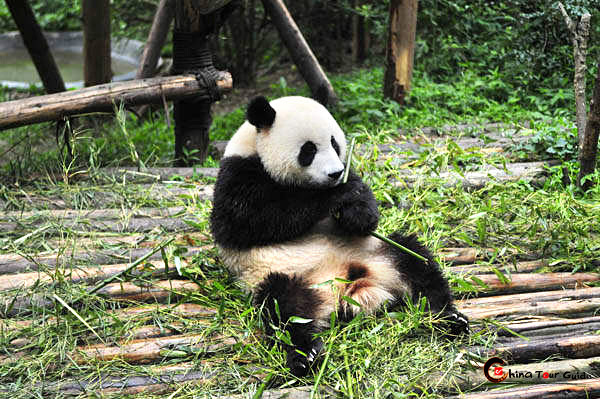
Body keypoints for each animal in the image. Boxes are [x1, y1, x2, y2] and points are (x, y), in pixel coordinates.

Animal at [211, 96, 468, 378]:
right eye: (308, 150)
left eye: (334, 143)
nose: (335, 173)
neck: (255, 151)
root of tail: (351, 286)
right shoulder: (237, 177)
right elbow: (250, 220)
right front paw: (336, 195)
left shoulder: (350, 171)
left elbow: (366, 211)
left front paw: (354, 209)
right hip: (282, 274)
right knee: (284, 308)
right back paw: (305, 355)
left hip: (380, 253)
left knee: (415, 261)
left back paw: (448, 317)